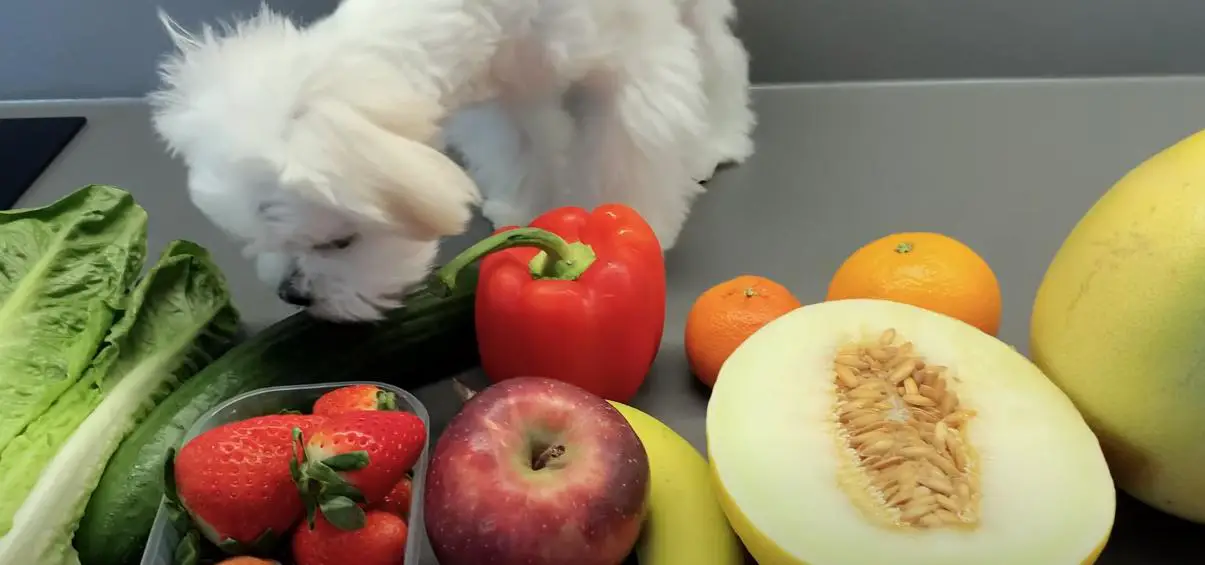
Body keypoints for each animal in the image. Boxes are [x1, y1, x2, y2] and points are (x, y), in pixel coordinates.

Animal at [148, 0, 751, 320]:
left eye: (340, 242)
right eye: (253, 239)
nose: (292, 293)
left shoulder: (633, 66)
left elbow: (626, 153)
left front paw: (634, 219)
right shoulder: (508, 90)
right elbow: (522, 152)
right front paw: (523, 209)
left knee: (721, 54)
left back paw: (720, 138)